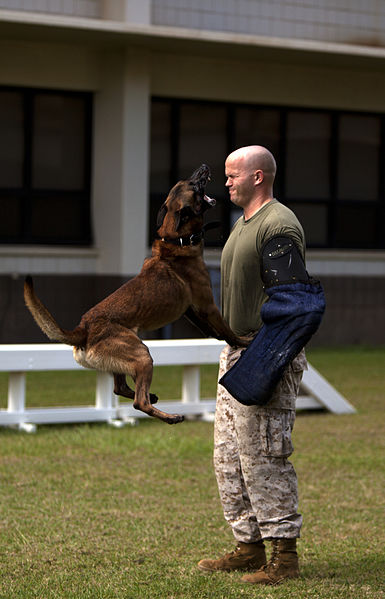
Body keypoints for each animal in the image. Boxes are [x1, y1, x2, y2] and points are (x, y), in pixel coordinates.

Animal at [24, 165, 246, 426]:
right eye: (192, 185)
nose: (203, 167)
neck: (177, 240)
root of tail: (83, 329)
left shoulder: (191, 310)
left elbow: (213, 330)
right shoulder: (208, 305)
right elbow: (226, 329)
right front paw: (244, 341)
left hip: (125, 359)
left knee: (120, 388)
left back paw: (153, 396)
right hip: (142, 355)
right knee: (139, 402)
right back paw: (171, 416)